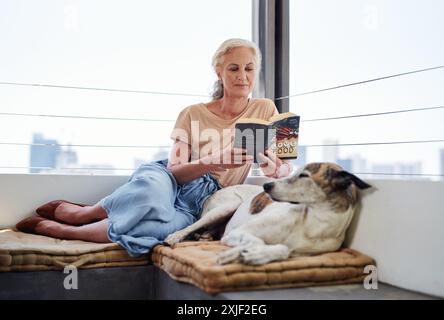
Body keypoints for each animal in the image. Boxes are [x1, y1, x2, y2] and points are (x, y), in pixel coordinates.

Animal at [164, 162, 372, 264]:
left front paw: (255, 255)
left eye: (304, 175)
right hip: (228, 206)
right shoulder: (237, 233)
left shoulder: (299, 254)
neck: (311, 224)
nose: (267, 186)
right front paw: (245, 252)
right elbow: (258, 241)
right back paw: (174, 238)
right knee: (189, 227)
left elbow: (284, 250)